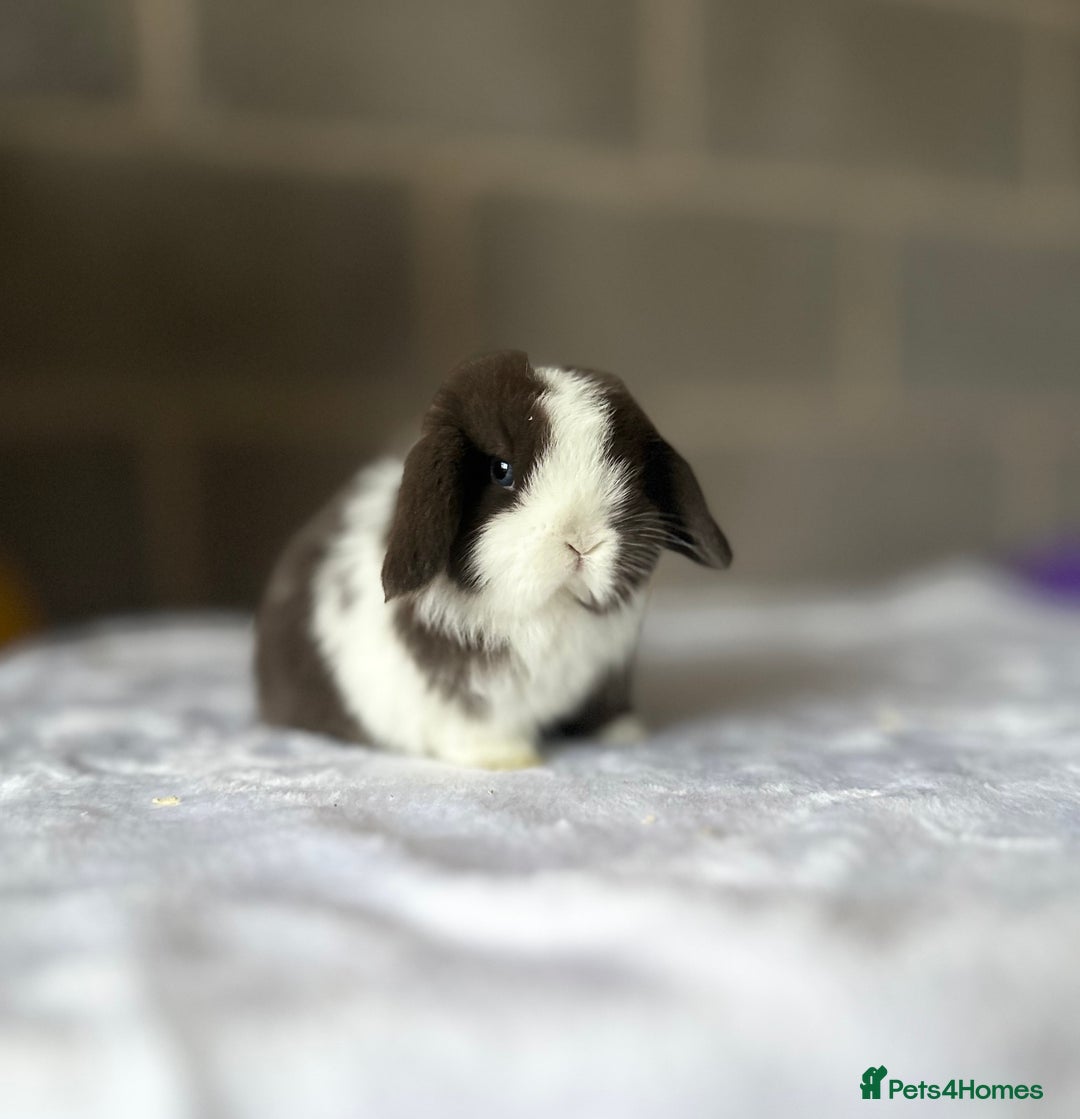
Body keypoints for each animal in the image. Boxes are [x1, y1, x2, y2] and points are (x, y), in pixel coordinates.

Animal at [255, 350, 731, 769]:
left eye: (628, 469)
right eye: (501, 470)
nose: (581, 542)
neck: (549, 612)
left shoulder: (608, 670)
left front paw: (625, 733)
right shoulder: (462, 696)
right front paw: (507, 759)